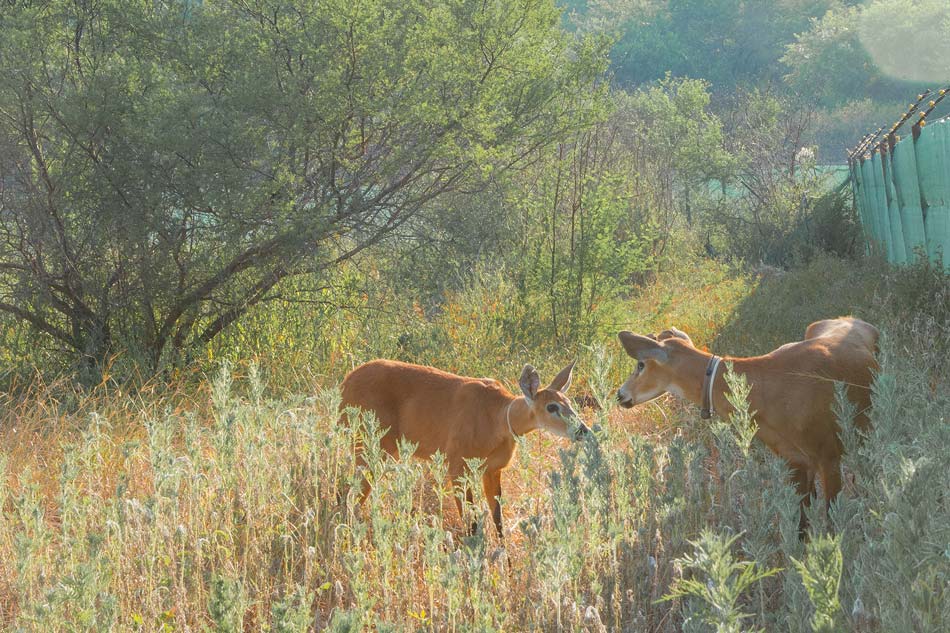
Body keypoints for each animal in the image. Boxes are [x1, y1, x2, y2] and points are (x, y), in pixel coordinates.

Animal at [338, 358, 592, 536]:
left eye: (569, 402)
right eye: (552, 407)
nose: (584, 430)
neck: (497, 419)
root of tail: (344, 384)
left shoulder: (492, 469)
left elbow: (497, 520)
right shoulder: (457, 463)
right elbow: (471, 523)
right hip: (369, 445)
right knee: (351, 496)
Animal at [616, 316, 876, 528]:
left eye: (640, 364)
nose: (620, 394)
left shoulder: (828, 452)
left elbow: (832, 520)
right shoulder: (794, 460)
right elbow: (800, 524)